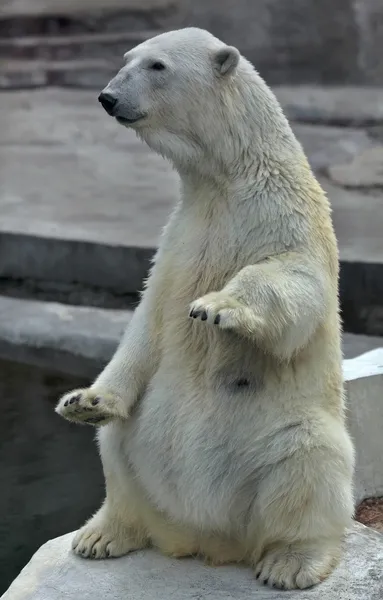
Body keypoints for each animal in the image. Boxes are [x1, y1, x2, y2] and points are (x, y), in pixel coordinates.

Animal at [56, 28, 354, 592]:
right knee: (117, 446)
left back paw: (290, 561)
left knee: (311, 462)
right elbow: (146, 321)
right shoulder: (180, 236)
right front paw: (84, 400)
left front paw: (219, 306)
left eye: (157, 66)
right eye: (126, 59)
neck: (228, 178)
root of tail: (210, 538)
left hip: (283, 433)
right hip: (146, 438)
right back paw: (102, 533)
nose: (107, 97)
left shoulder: (286, 213)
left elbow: (296, 281)